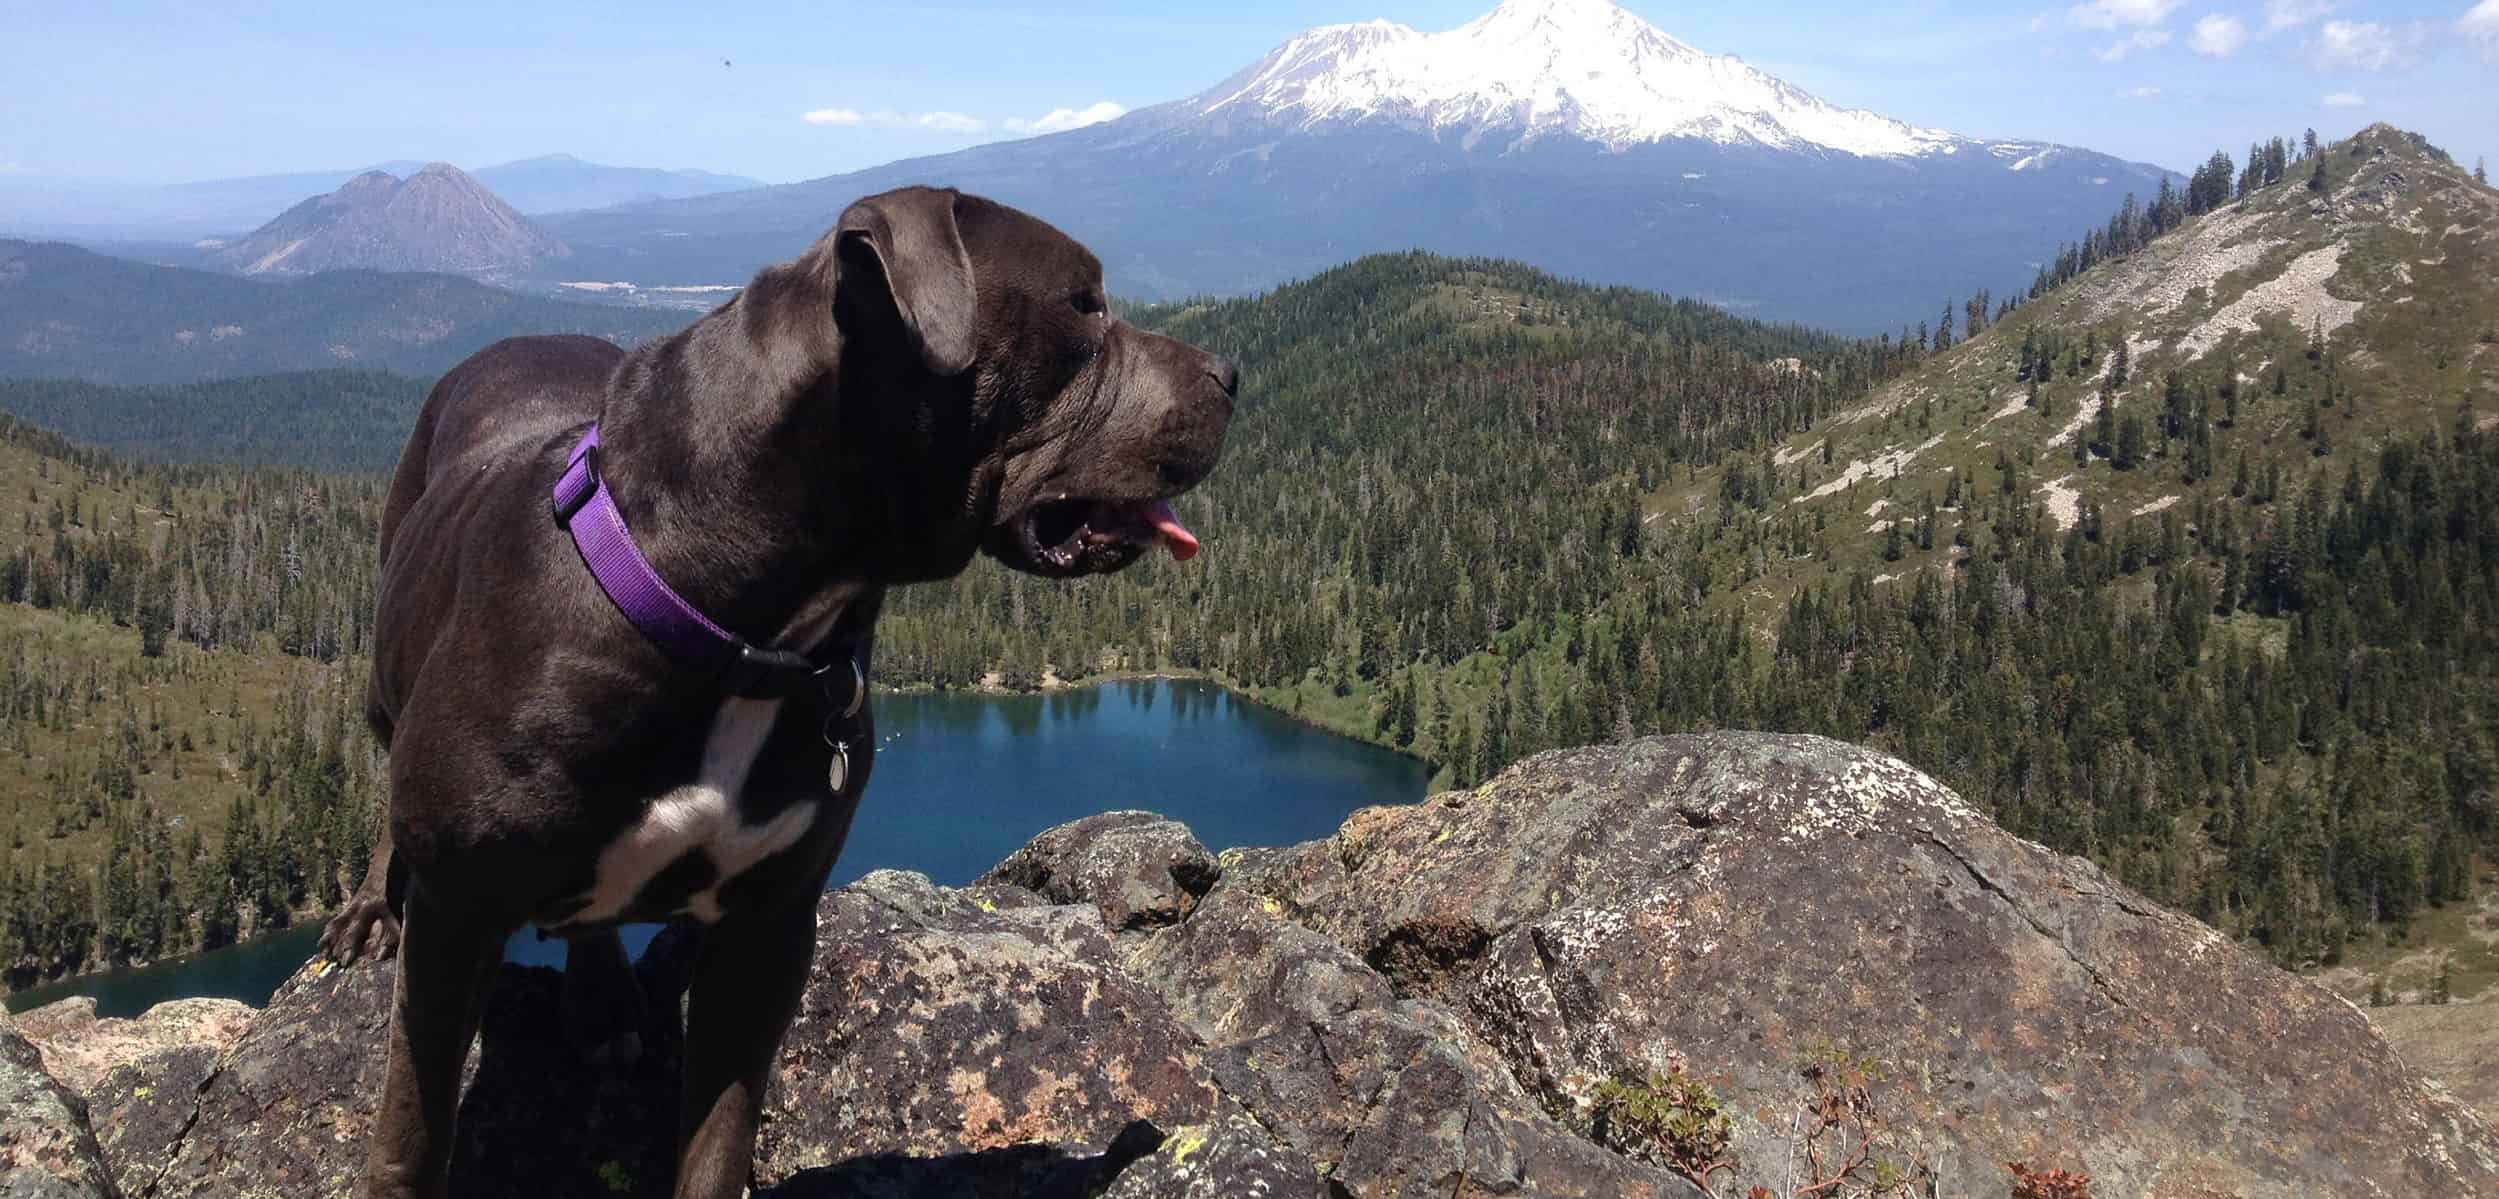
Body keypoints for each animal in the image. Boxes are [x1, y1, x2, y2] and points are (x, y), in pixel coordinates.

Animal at [322, 187, 1239, 1199]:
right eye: (1082, 306)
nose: (1233, 372)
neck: (740, 635)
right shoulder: (456, 920)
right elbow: (409, 1137)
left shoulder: (767, 930)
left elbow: (718, 1136)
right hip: (385, 661)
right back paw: (369, 909)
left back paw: (601, 999)